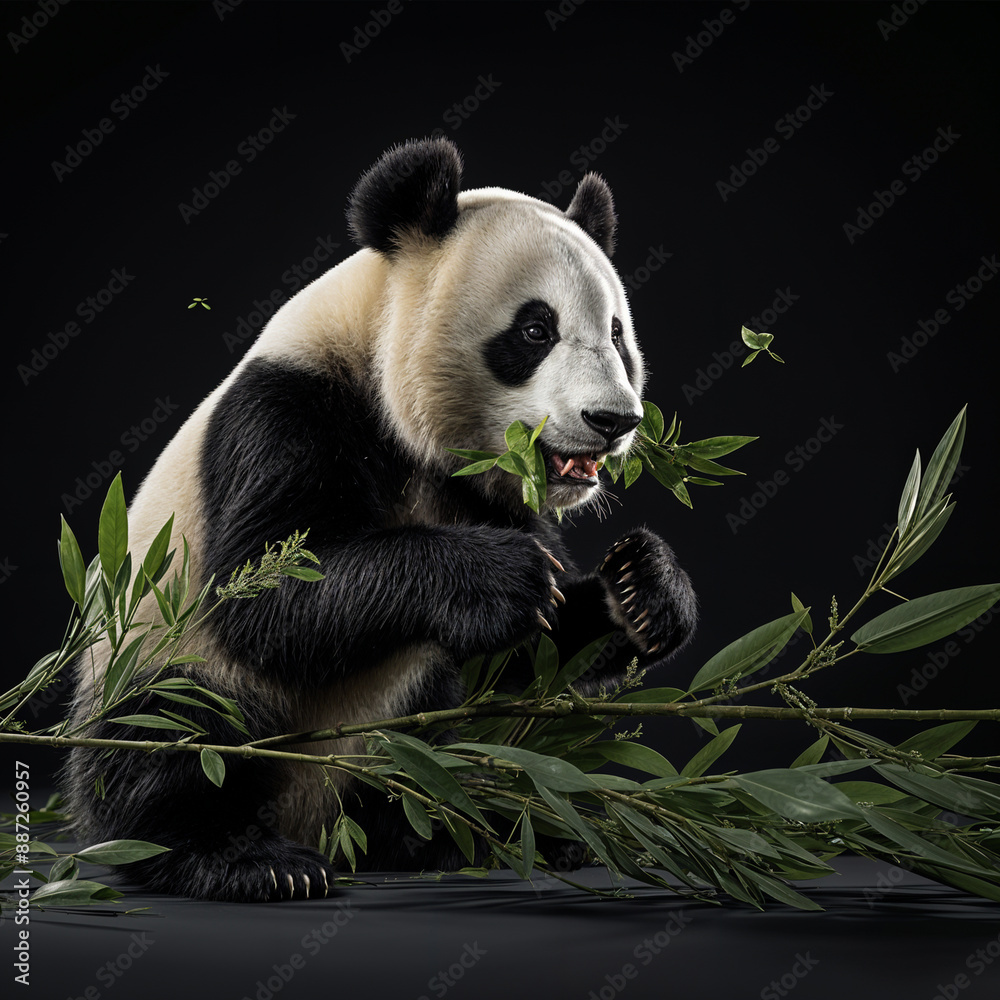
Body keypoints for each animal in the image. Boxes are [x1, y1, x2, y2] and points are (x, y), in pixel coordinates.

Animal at [63, 137, 697, 903]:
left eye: (617, 333)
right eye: (535, 329)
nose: (613, 420)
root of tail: (326, 830)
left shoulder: (490, 492)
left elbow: (524, 653)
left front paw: (641, 590)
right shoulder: (285, 414)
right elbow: (266, 597)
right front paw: (499, 578)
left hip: (404, 746)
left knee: (439, 739)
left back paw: (494, 826)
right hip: (157, 658)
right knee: (173, 730)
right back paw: (247, 859)